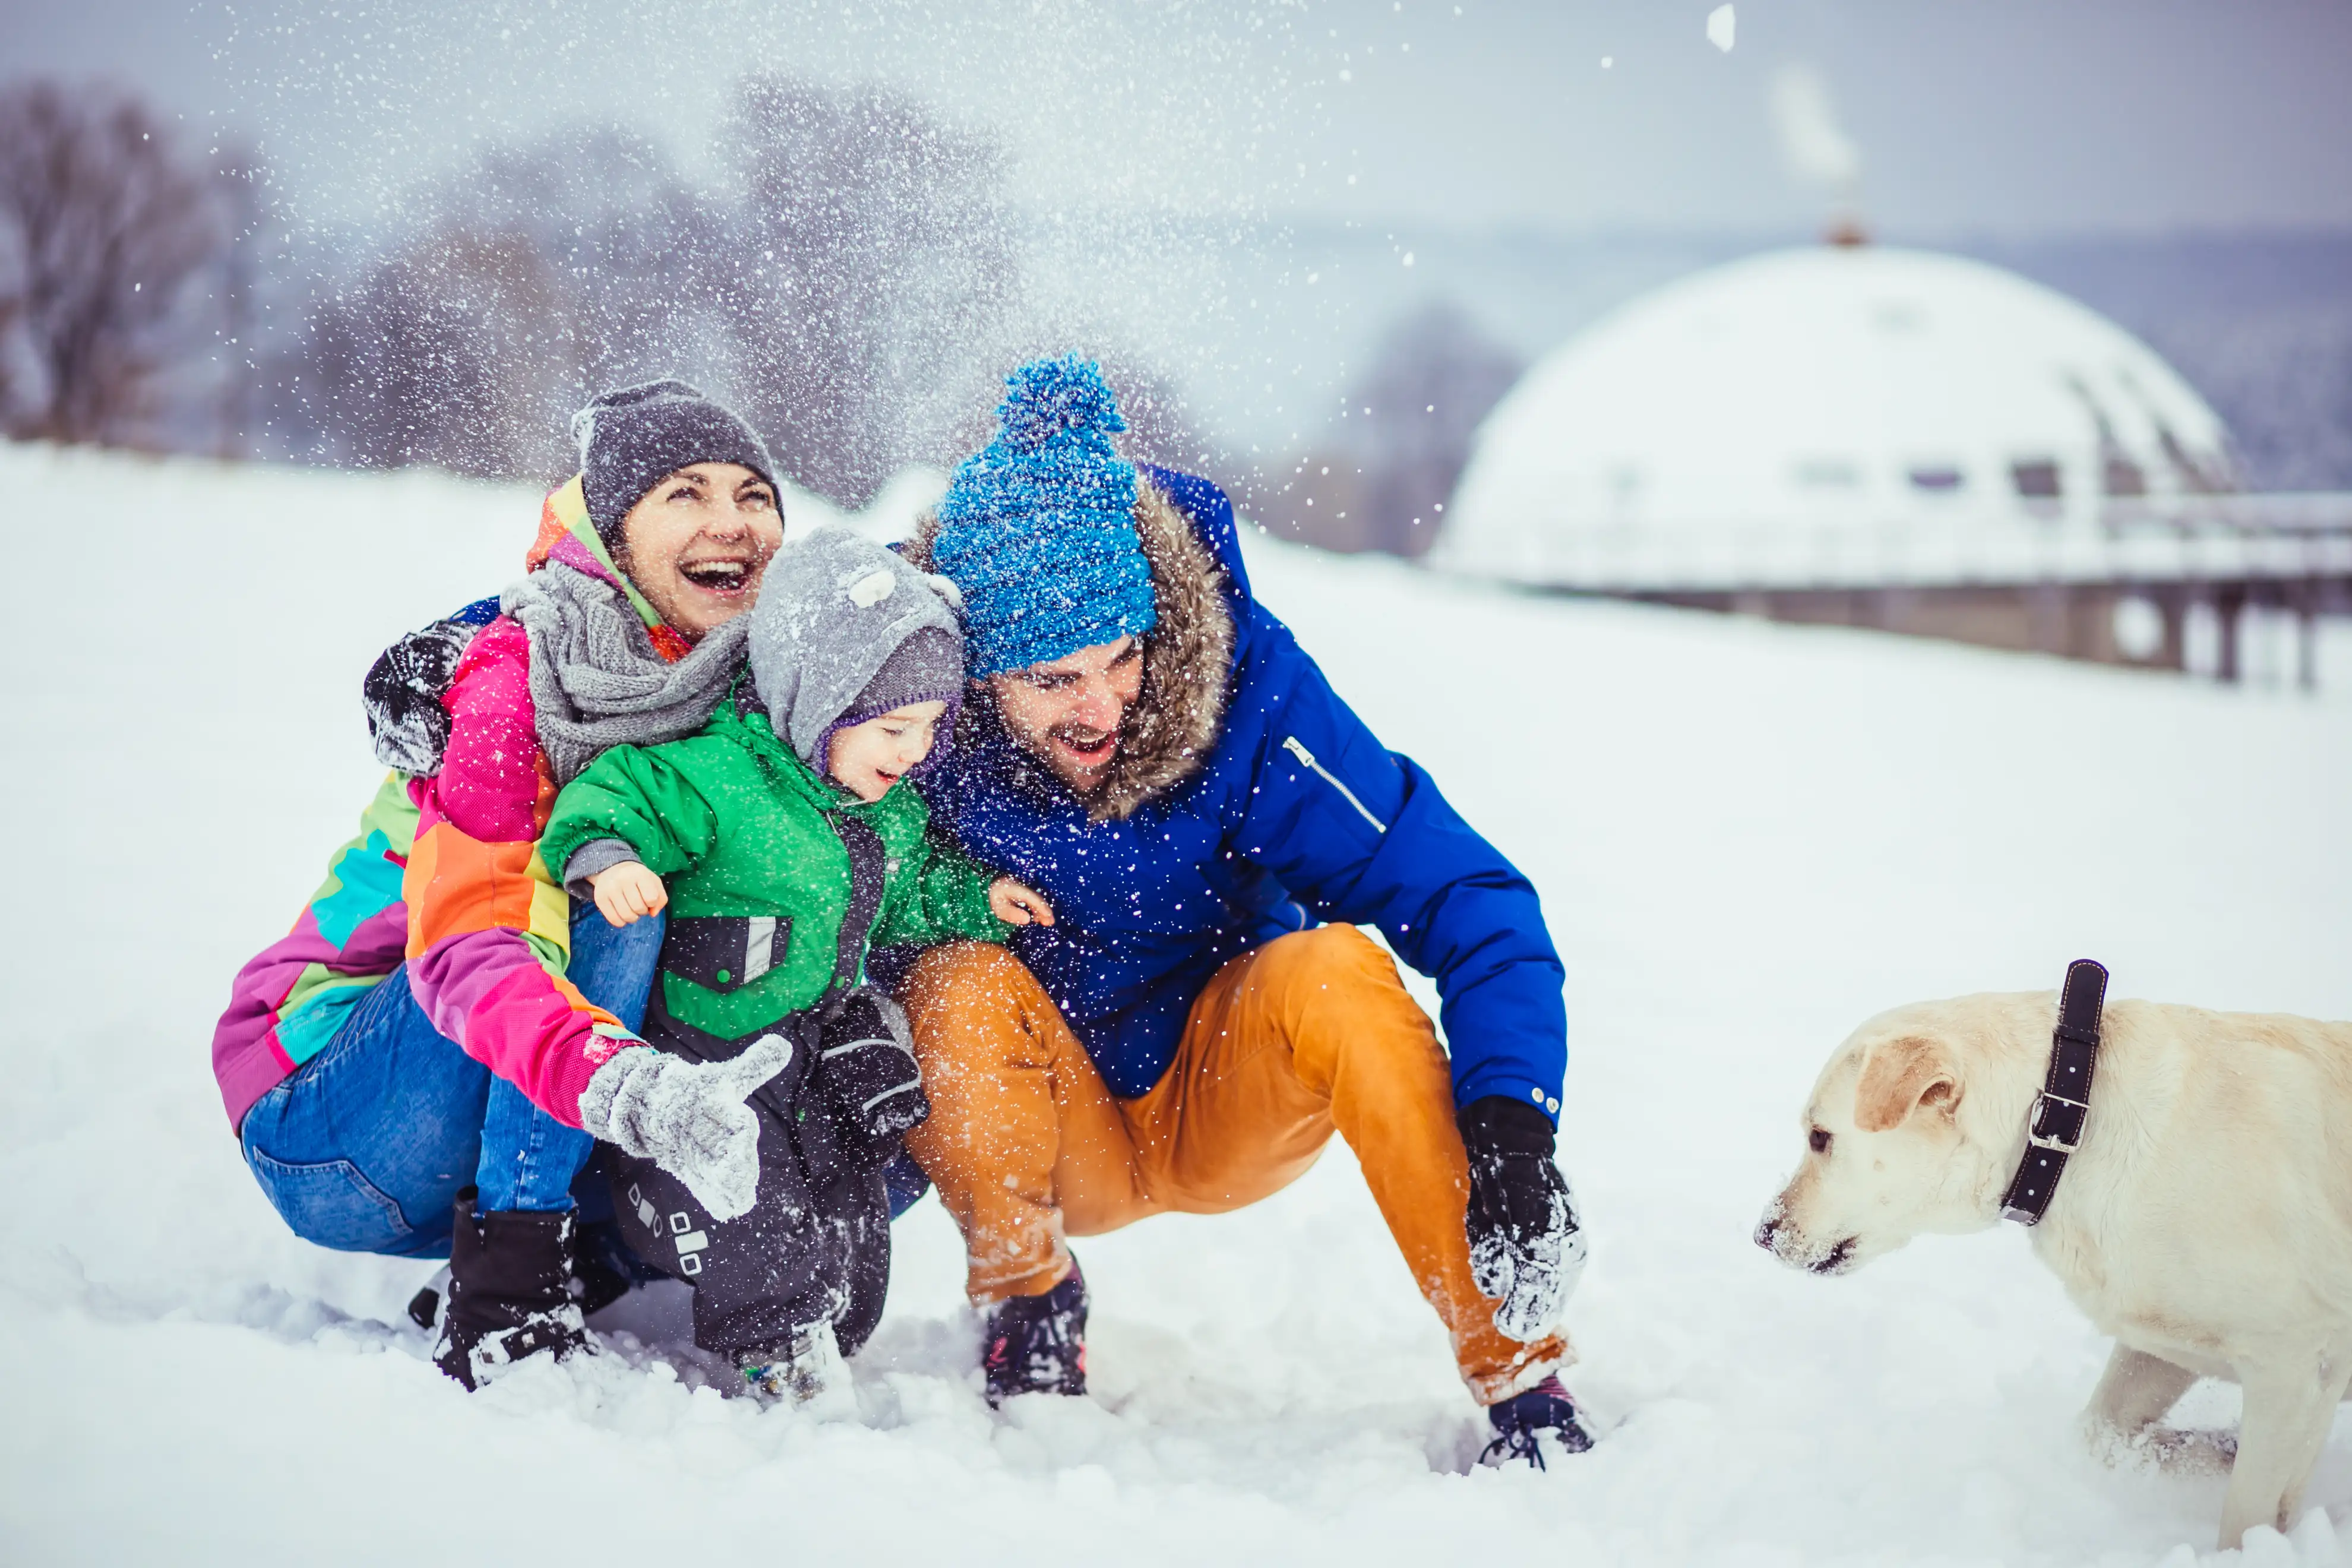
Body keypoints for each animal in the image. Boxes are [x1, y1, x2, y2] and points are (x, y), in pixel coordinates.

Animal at [1759, 973, 2352, 1551]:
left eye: (1820, 1137)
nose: (1762, 1232)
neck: (2065, 1123)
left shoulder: (2293, 1365)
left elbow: (2245, 1521)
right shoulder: (2163, 1348)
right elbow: (2101, 1434)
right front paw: (2212, 1450)